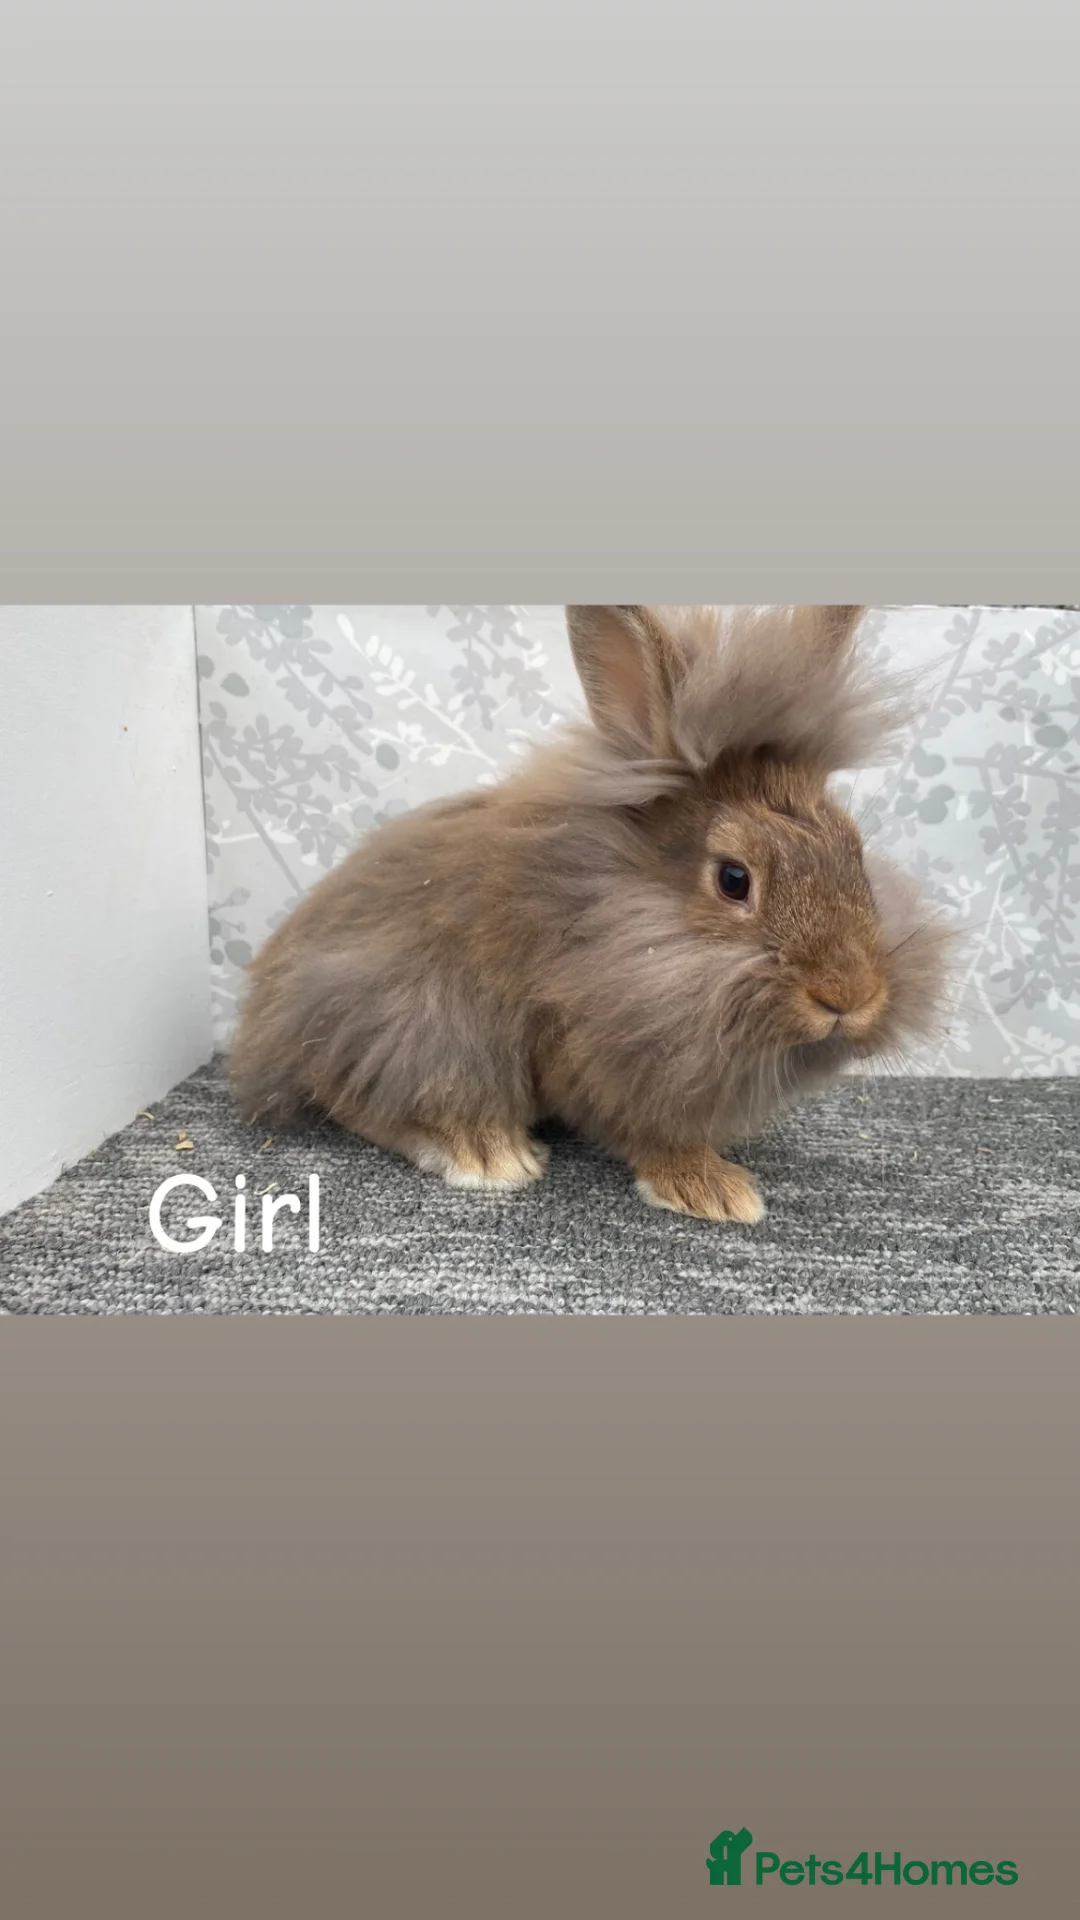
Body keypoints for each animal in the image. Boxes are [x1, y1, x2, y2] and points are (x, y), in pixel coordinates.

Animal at [229, 605, 954, 1223]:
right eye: (733, 879)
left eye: (854, 849)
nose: (850, 997)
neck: (623, 915)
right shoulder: (585, 1049)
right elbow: (646, 1129)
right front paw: (713, 1189)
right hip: (415, 1017)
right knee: (357, 1094)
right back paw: (487, 1153)